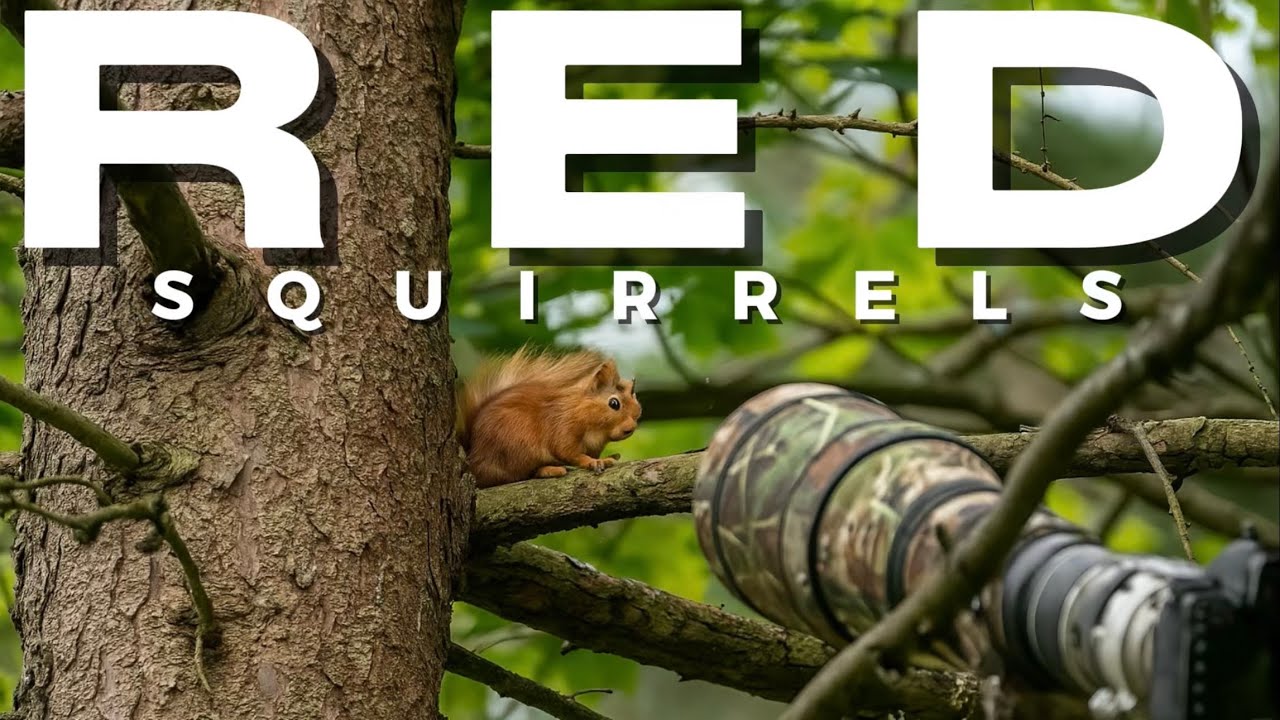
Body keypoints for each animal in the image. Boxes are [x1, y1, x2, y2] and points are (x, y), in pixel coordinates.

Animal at [457, 345, 643, 488]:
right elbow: (568, 452)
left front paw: (607, 458)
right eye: (614, 403)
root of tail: (474, 457)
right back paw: (549, 470)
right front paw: (592, 462)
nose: (631, 428)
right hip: (516, 448)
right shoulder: (562, 426)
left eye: (637, 407)